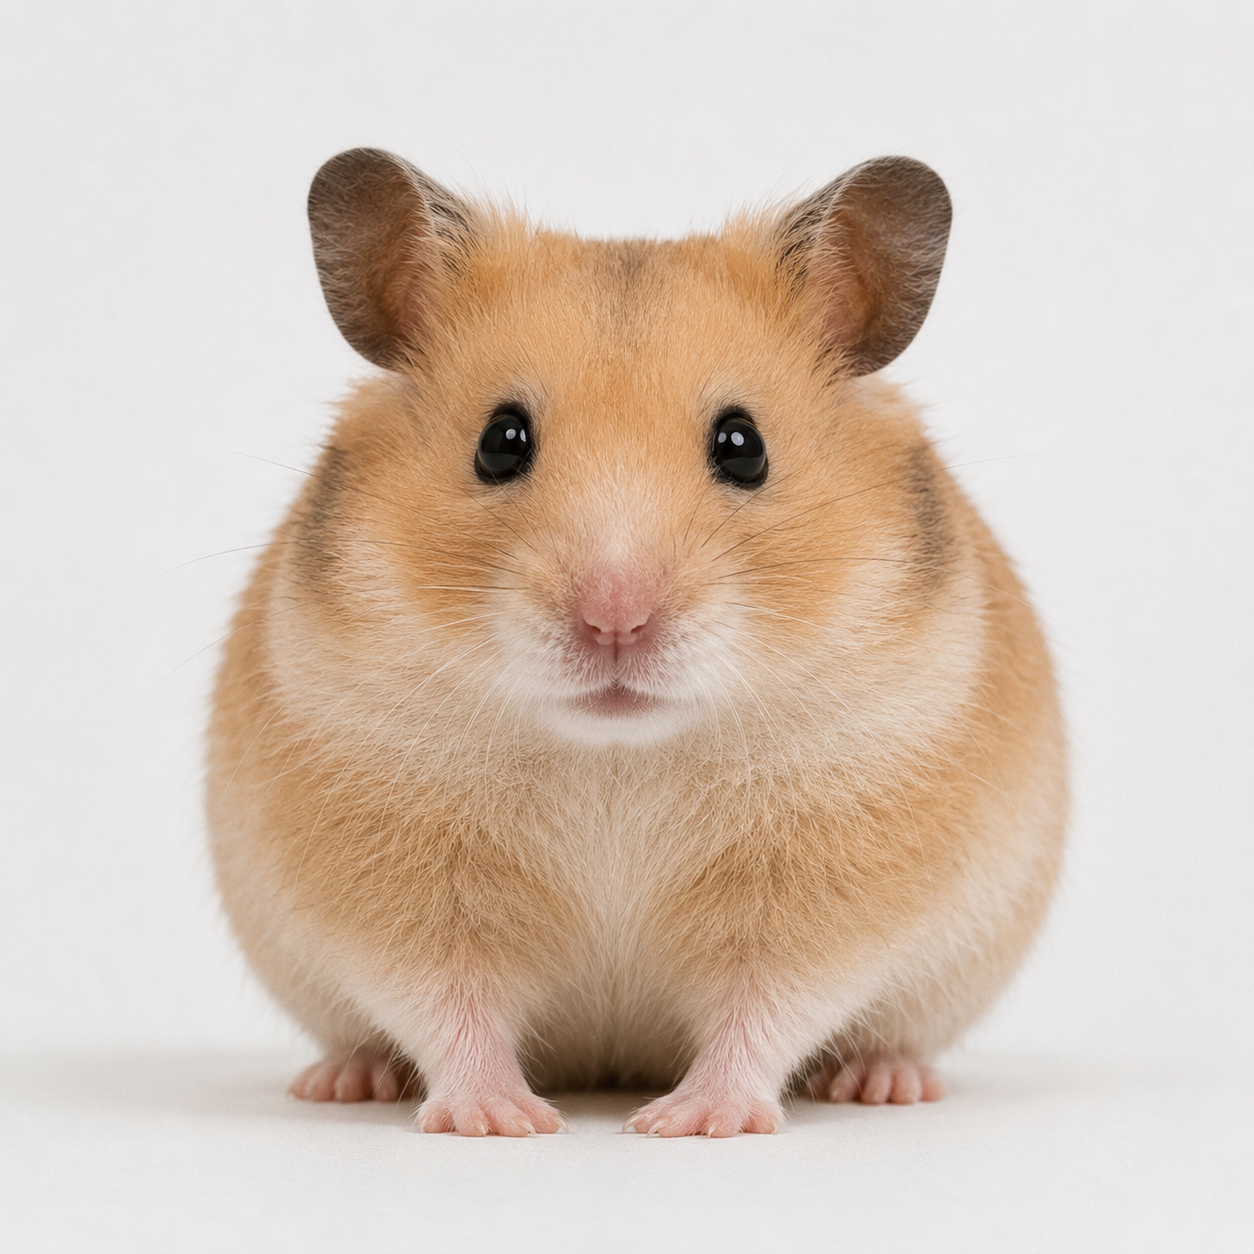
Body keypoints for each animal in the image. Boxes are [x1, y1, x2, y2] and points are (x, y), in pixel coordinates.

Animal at [206, 148, 1066, 1136]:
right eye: (501, 441)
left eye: (743, 445)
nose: (615, 619)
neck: (616, 753)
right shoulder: (400, 883)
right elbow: (450, 1003)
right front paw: (501, 1120)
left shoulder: (823, 886)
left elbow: (763, 1007)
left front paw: (688, 1123)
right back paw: (348, 1078)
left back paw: (885, 1081)